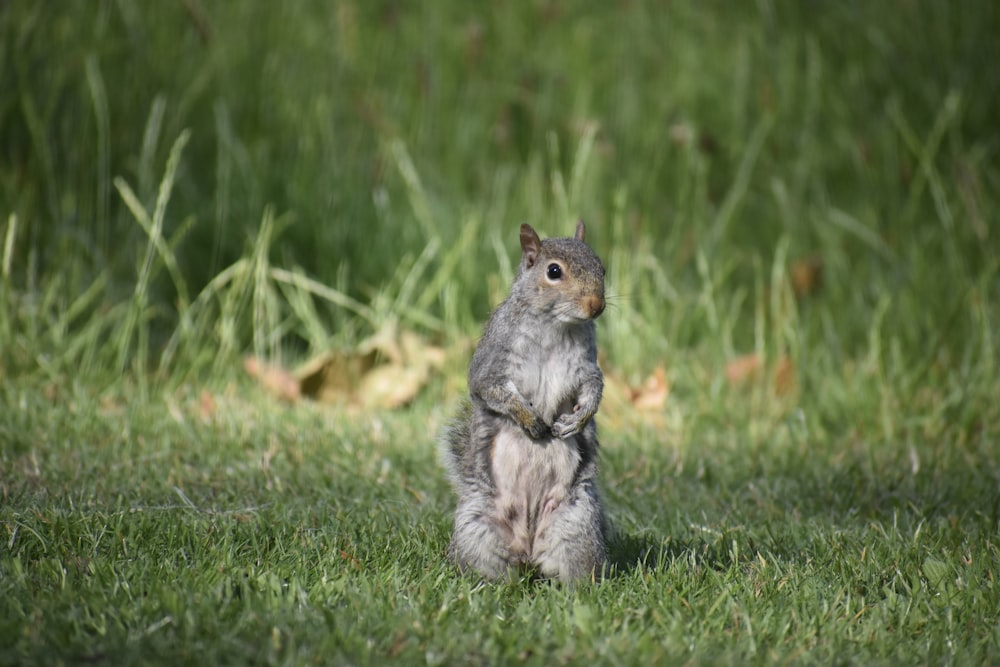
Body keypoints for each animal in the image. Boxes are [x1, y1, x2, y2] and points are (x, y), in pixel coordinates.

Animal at [446, 222, 608, 580]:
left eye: (602, 267)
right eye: (553, 271)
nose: (596, 305)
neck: (555, 326)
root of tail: (527, 548)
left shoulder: (585, 366)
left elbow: (593, 389)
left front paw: (578, 420)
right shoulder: (492, 361)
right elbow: (491, 389)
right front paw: (530, 419)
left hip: (576, 525)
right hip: (478, 530)